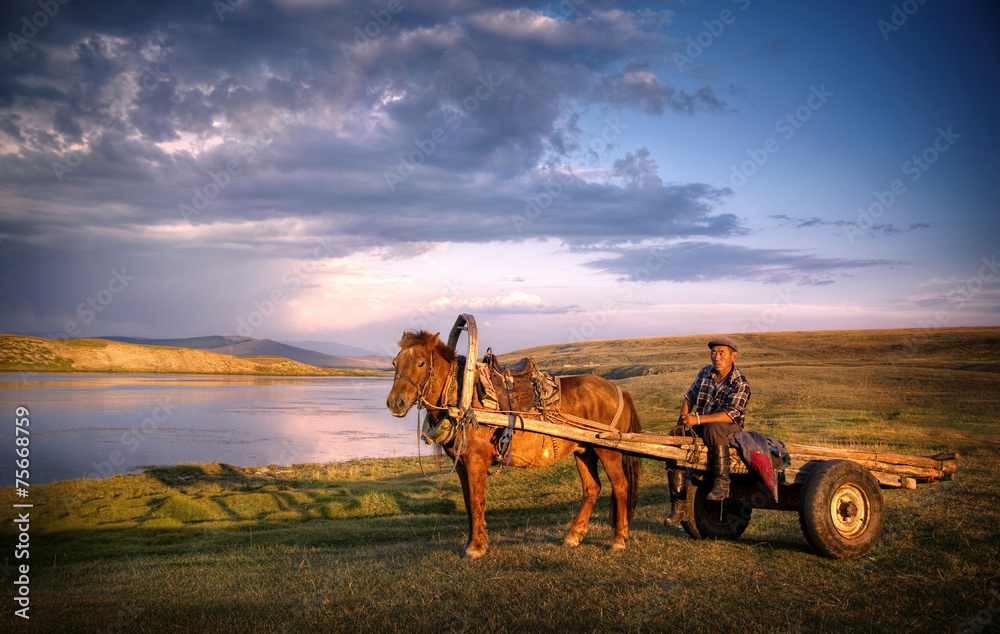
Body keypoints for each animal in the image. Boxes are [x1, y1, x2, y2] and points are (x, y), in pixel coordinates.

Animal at [382, 330, 640, 556]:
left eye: (421, 363)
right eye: (395, 363)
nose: (395, 403)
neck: (463, 398)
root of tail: (618, 389)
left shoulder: (476, 461)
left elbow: (477, 501)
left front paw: (475, 548)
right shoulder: (461, 465)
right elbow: (468, 503)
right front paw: (472, 543)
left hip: (608, 451)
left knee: (620, 487)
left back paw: (618, 540)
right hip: (584, 451)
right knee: (591, 488)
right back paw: (573, 537)